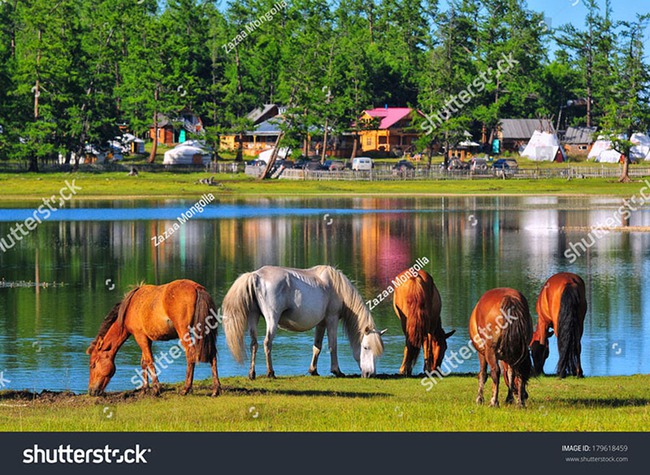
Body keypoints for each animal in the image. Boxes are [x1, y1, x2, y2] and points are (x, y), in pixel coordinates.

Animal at [86, 278, 220, 398]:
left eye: (93, 365)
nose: (91, 391)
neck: (129, 308)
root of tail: (197, 288)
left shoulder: (140, 336)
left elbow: (150, 361)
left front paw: (156, 389)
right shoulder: (146, 338)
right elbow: (144, 362)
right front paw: (144, 389)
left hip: (184, 332)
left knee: (190, 354)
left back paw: (186, 389)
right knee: (212, 355)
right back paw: (215, 389)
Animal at [223, 266, 384, 382]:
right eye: (366, 347)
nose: (370, 374)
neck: (336, 287)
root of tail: (255, 276)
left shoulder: (321, 323)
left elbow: (317, 347)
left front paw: (313, 370)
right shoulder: (331, 319)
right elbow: (333, 346)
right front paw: (337, 371)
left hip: (253, 317)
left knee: (254, 343)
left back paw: (252, 373)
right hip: (272, 319)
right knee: (267, 343)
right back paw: (271, 373)